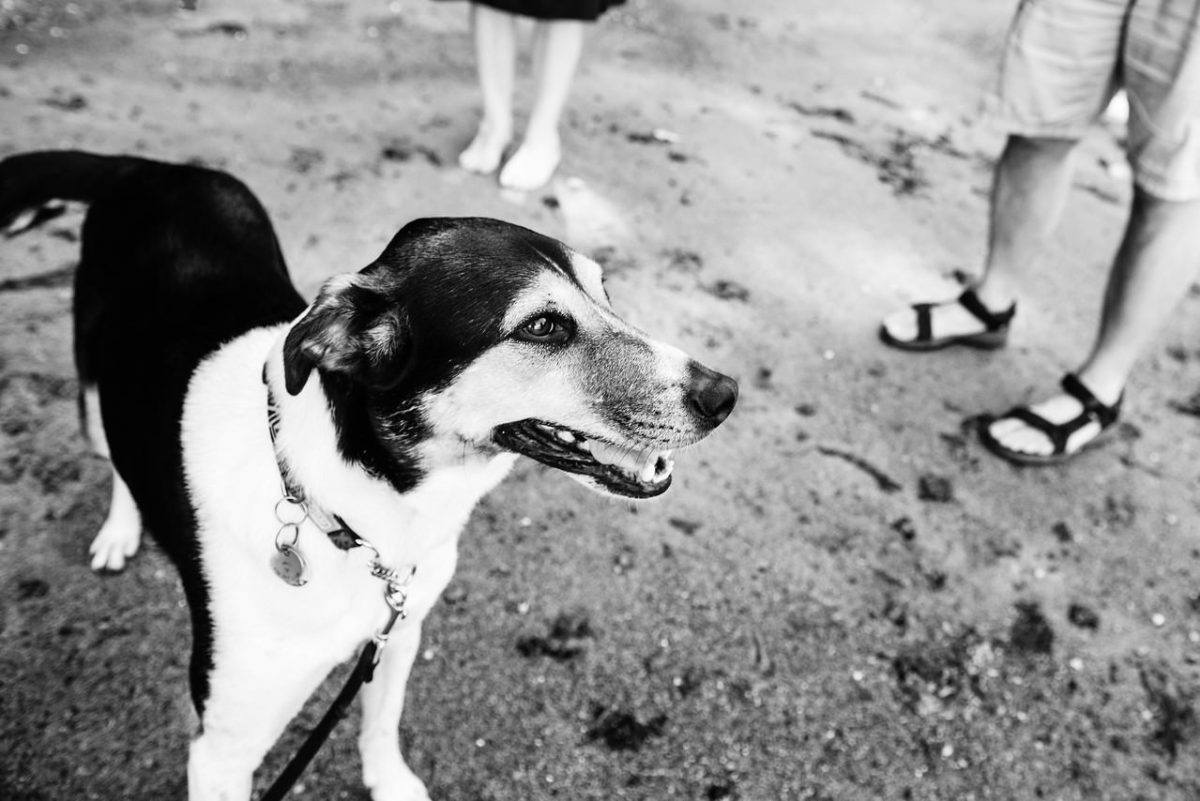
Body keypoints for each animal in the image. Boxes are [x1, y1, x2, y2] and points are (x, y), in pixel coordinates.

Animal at [0, 151, 734, 801]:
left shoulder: (397, 633)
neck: (353, 511)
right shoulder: (220, 750)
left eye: (605, 293)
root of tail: (148, 168)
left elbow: (380, 723)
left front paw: (389, 783)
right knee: (114, 455)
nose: (725, 395)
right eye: (543, 326)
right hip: (93, 388)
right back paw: (121, 530)